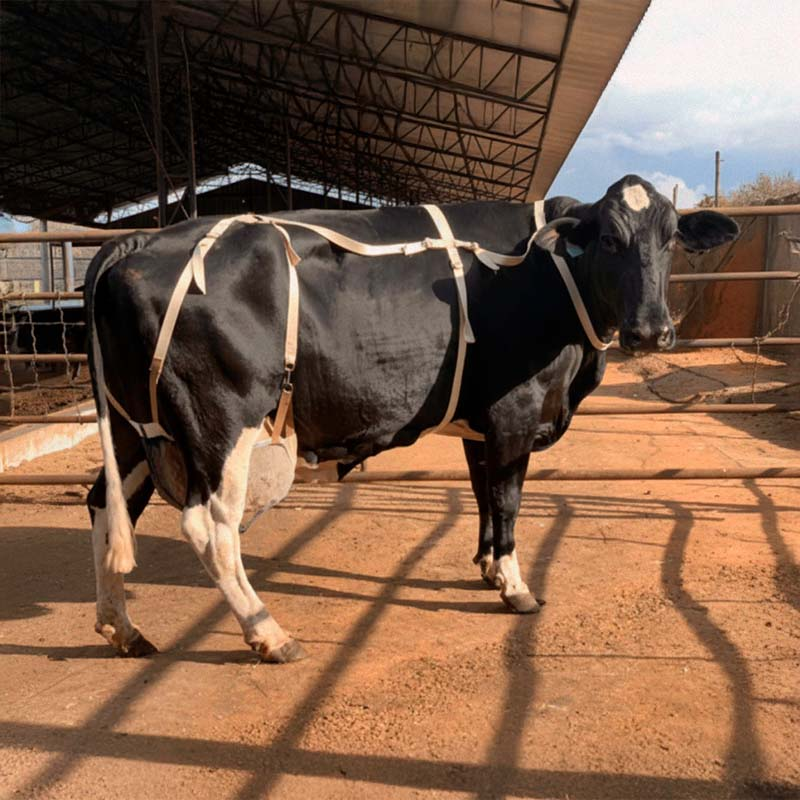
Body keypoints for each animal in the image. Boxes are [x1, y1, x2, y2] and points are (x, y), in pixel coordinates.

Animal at [84, 175, 738, 662]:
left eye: (672, 239)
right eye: (608, 239)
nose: (651, 331)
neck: (550, 274)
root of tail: (135, 243)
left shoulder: (480, 418)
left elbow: (481, 492)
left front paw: (487, 568)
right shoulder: (516, 408)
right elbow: (508, 498)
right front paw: (516, 586)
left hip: (135, 427)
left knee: (104, 506)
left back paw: (123, 628)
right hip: (221, 423)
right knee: (212, 527)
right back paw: (268, 633)